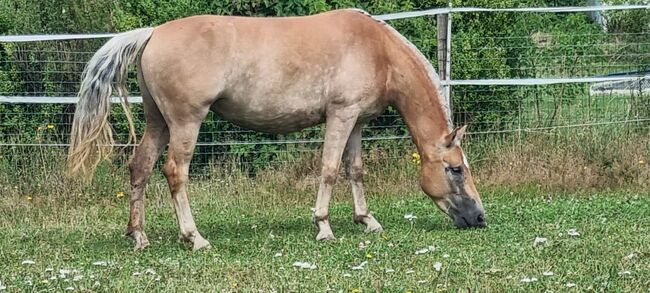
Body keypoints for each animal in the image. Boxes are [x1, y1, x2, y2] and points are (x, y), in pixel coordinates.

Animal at [68, 9, 484, 251]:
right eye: (455, 169)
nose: (479, 218)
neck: (377, 49)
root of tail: (153, 33)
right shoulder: (340, 116)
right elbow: (329, 170)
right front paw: (324, 227)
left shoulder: (356, 122)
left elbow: (354, 170)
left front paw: (367, 221)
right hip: (186, 122)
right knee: (174, 172)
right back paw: (195, 238)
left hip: (159, 123)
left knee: (139, 167)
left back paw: (139, 237)